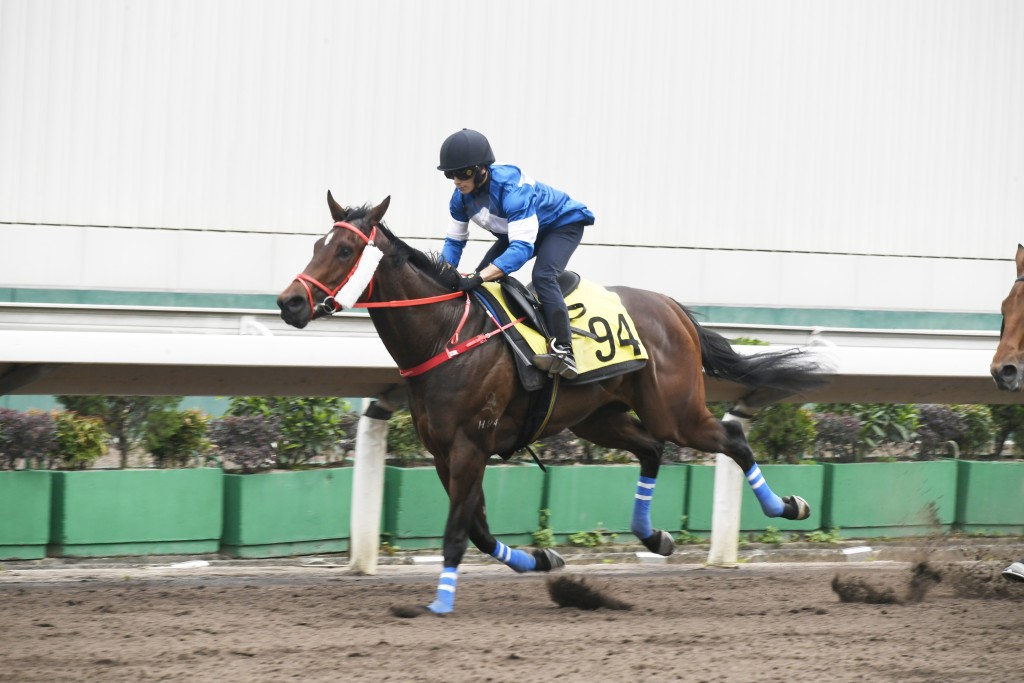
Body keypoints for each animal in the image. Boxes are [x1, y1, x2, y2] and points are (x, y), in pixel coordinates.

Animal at [276, 192, 827, 614]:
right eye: (316, 245)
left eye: (346, 249)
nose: (290, 303)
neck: (445, 337)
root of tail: (672, 307)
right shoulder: (442, 451)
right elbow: (478, 528)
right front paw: (542, 560)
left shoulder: (470, 445)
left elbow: (458, 530)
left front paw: (440, 602)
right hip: (597, 418)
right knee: (652, 450)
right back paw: (655, 536)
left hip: (676, 410)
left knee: (730, 438)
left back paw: (788, 505)